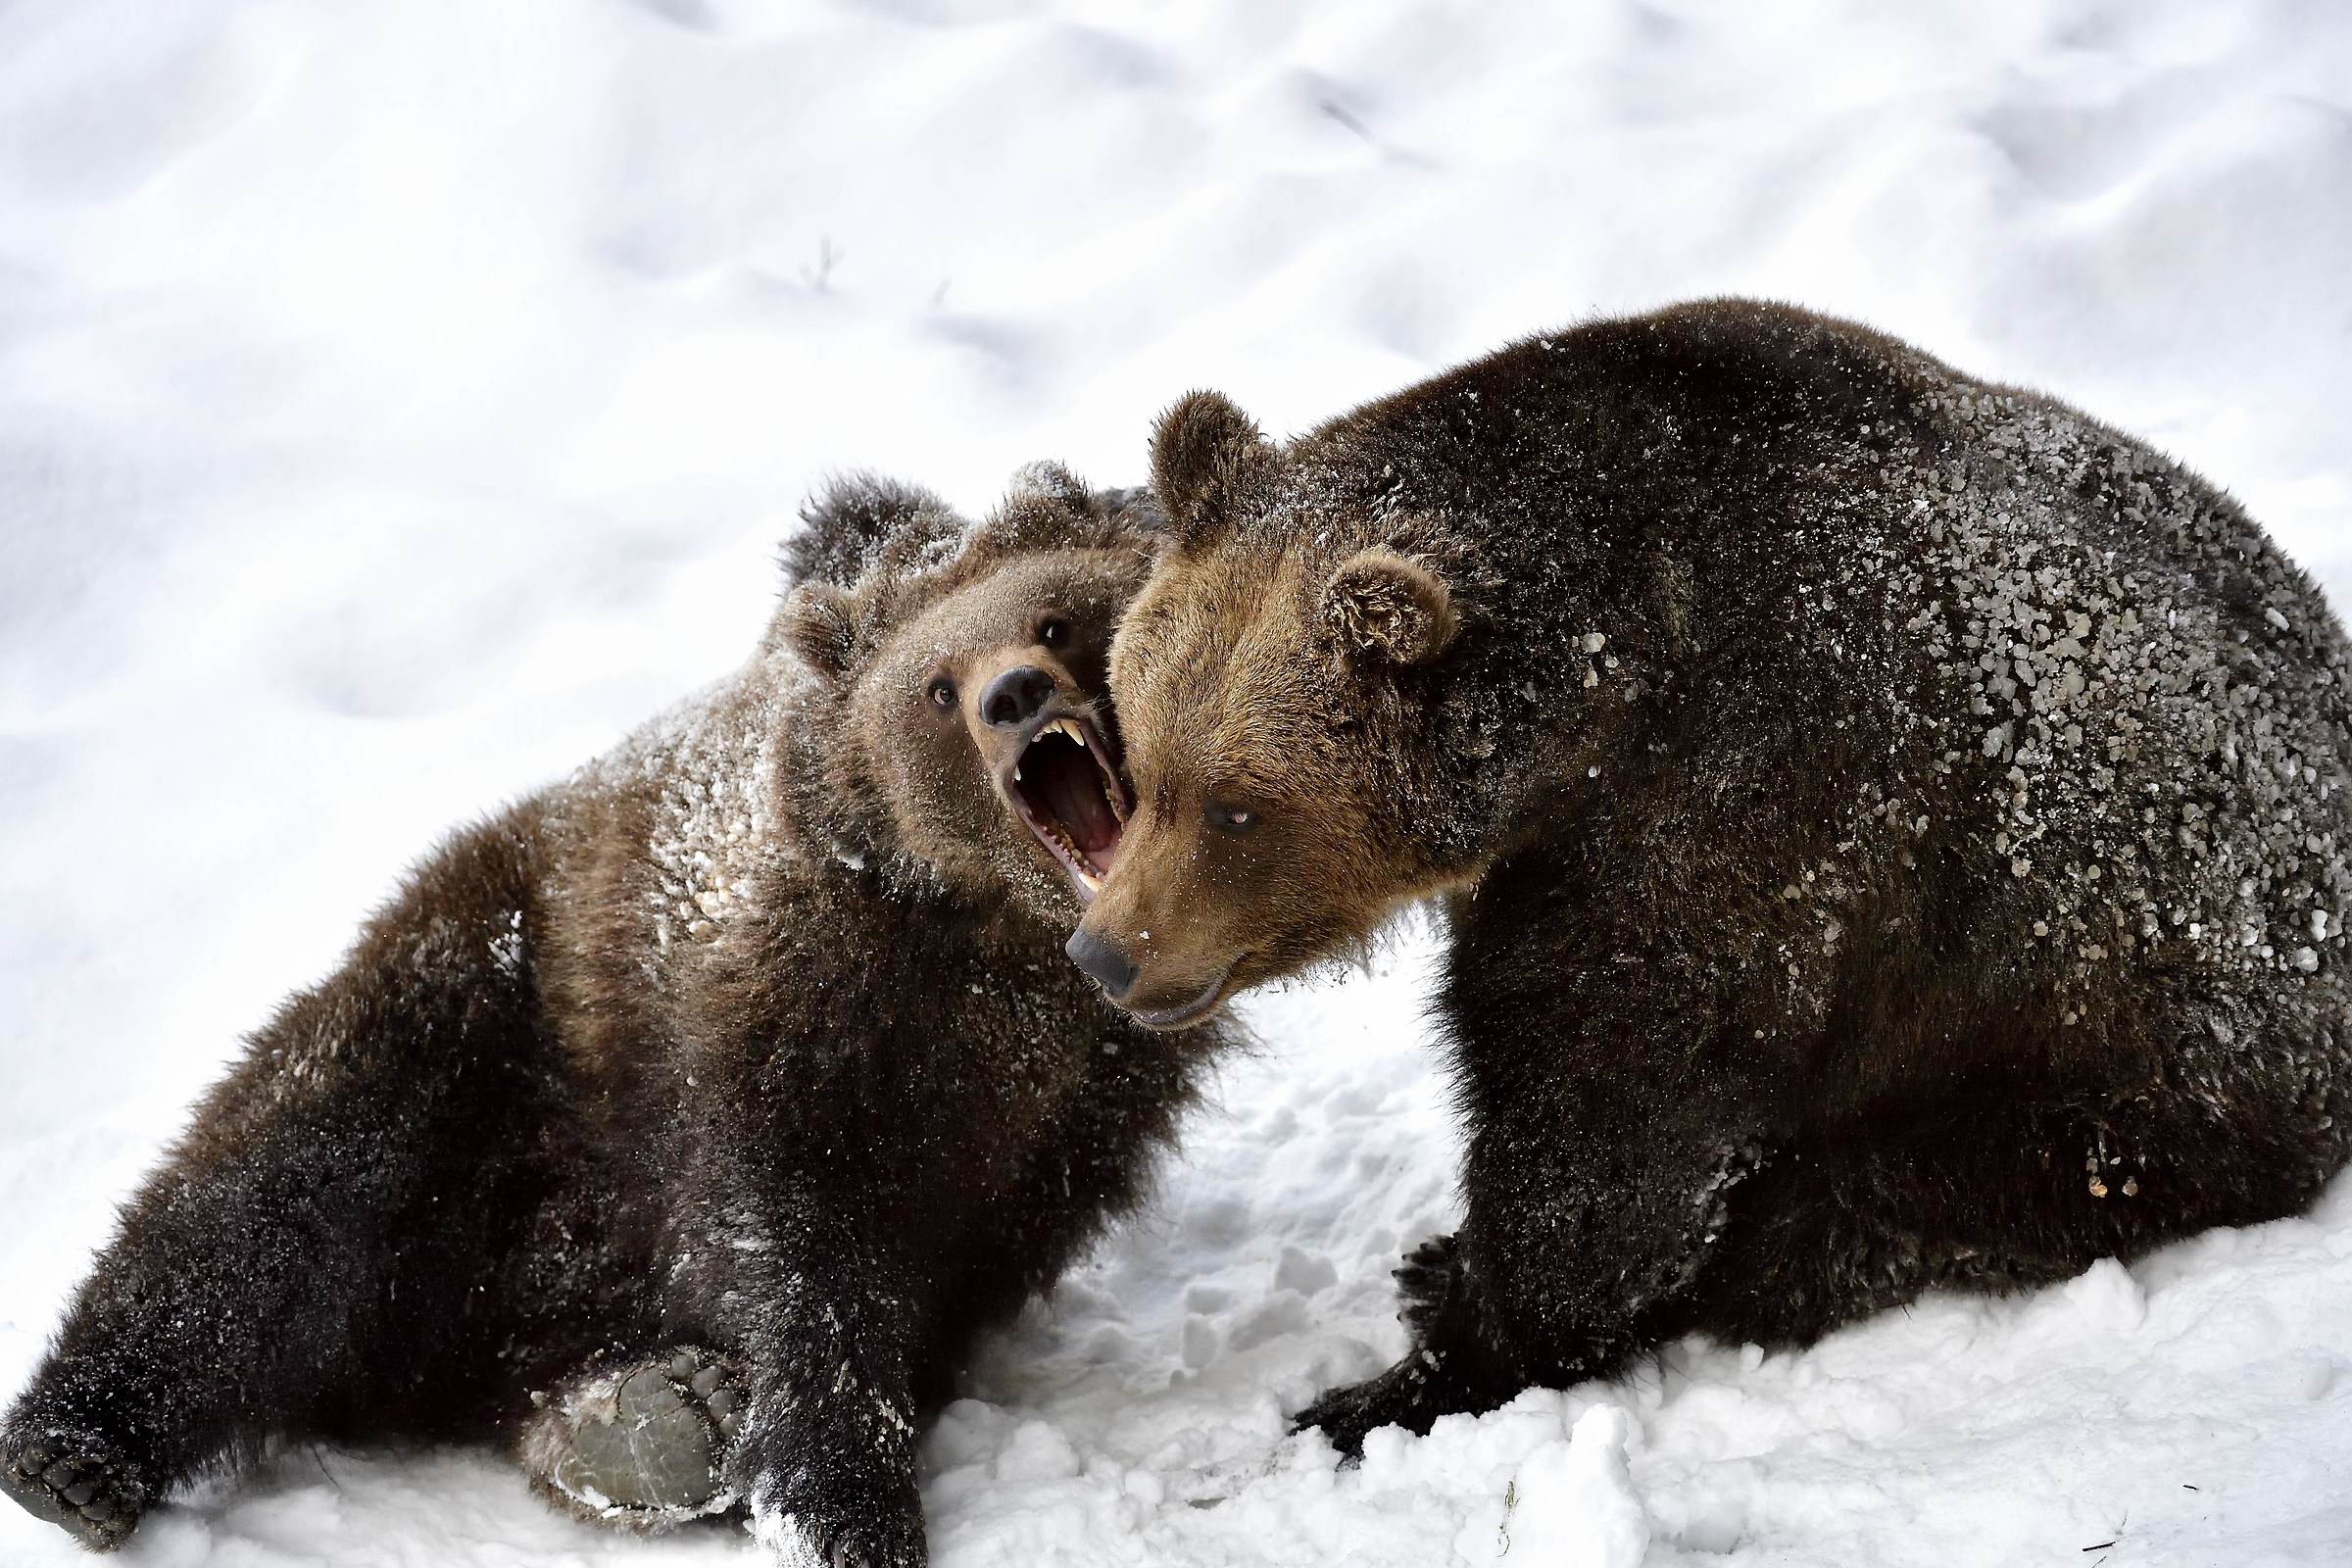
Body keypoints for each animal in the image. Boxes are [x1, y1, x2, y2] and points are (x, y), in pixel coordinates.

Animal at [2, 465, 1234, 1566]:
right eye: (936, 685)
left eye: (1055, 615)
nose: (1013, 695)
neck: (1001, 946)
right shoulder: (785, 1019)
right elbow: (795, 1250)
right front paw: (843, 1501)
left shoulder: (1060, 1117)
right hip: (485, 1006)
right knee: (270, 1189)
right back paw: (72, 1451)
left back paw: (644, 1417)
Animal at [1064, 298, 2352, 1454]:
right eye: (1142, 751)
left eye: (1238, 807)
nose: (1108, 951)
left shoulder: (1737, 800)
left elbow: (1616, 1110)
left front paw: (1397, 1380)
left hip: (2120, 1057)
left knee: (1869, 1204)